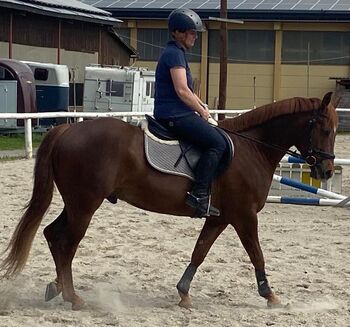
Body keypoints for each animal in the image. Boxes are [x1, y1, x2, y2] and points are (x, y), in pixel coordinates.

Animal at [0, 91, 340, 310]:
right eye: (324, 128)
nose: (325, 170)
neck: (251, 149)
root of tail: (66, 130)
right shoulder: (244, 216)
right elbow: (257, 254)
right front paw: (270, 295)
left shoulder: (219, 217)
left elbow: (199, 252)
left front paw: (184, 293)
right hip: (85, 205)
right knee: (66, 243)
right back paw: (73, 297)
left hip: (75, 204)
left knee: (52, 235)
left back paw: (57, 287)